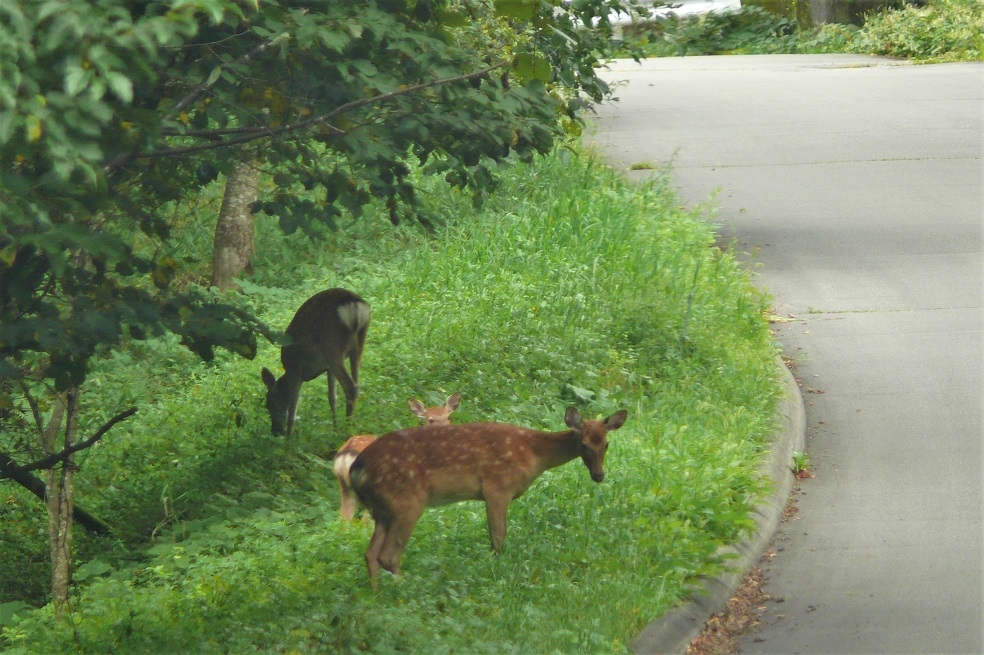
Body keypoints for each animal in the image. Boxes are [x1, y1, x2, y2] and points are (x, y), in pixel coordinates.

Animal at [260, 288, 370, 438]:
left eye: (269, 404)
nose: (275, 432)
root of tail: (354, 303)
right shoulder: (327, 367)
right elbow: (332, 397)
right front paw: (335, 430)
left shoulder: (296, 369)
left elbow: (292, 412)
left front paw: (288, 441)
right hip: (357, 345)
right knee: (356, 383)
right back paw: (350, 428)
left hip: (332, 346)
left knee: (351, 387)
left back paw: (348, 430)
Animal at [350, 410, 628, 584]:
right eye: (584, 445)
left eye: (606, 444)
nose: (599, 475)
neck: (533, 455)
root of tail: (356, 468)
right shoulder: (497, 487)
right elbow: (498, 536)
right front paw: (499, 570)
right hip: (406, 501)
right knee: (388, 556)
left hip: (382, 509)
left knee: (370, 554)